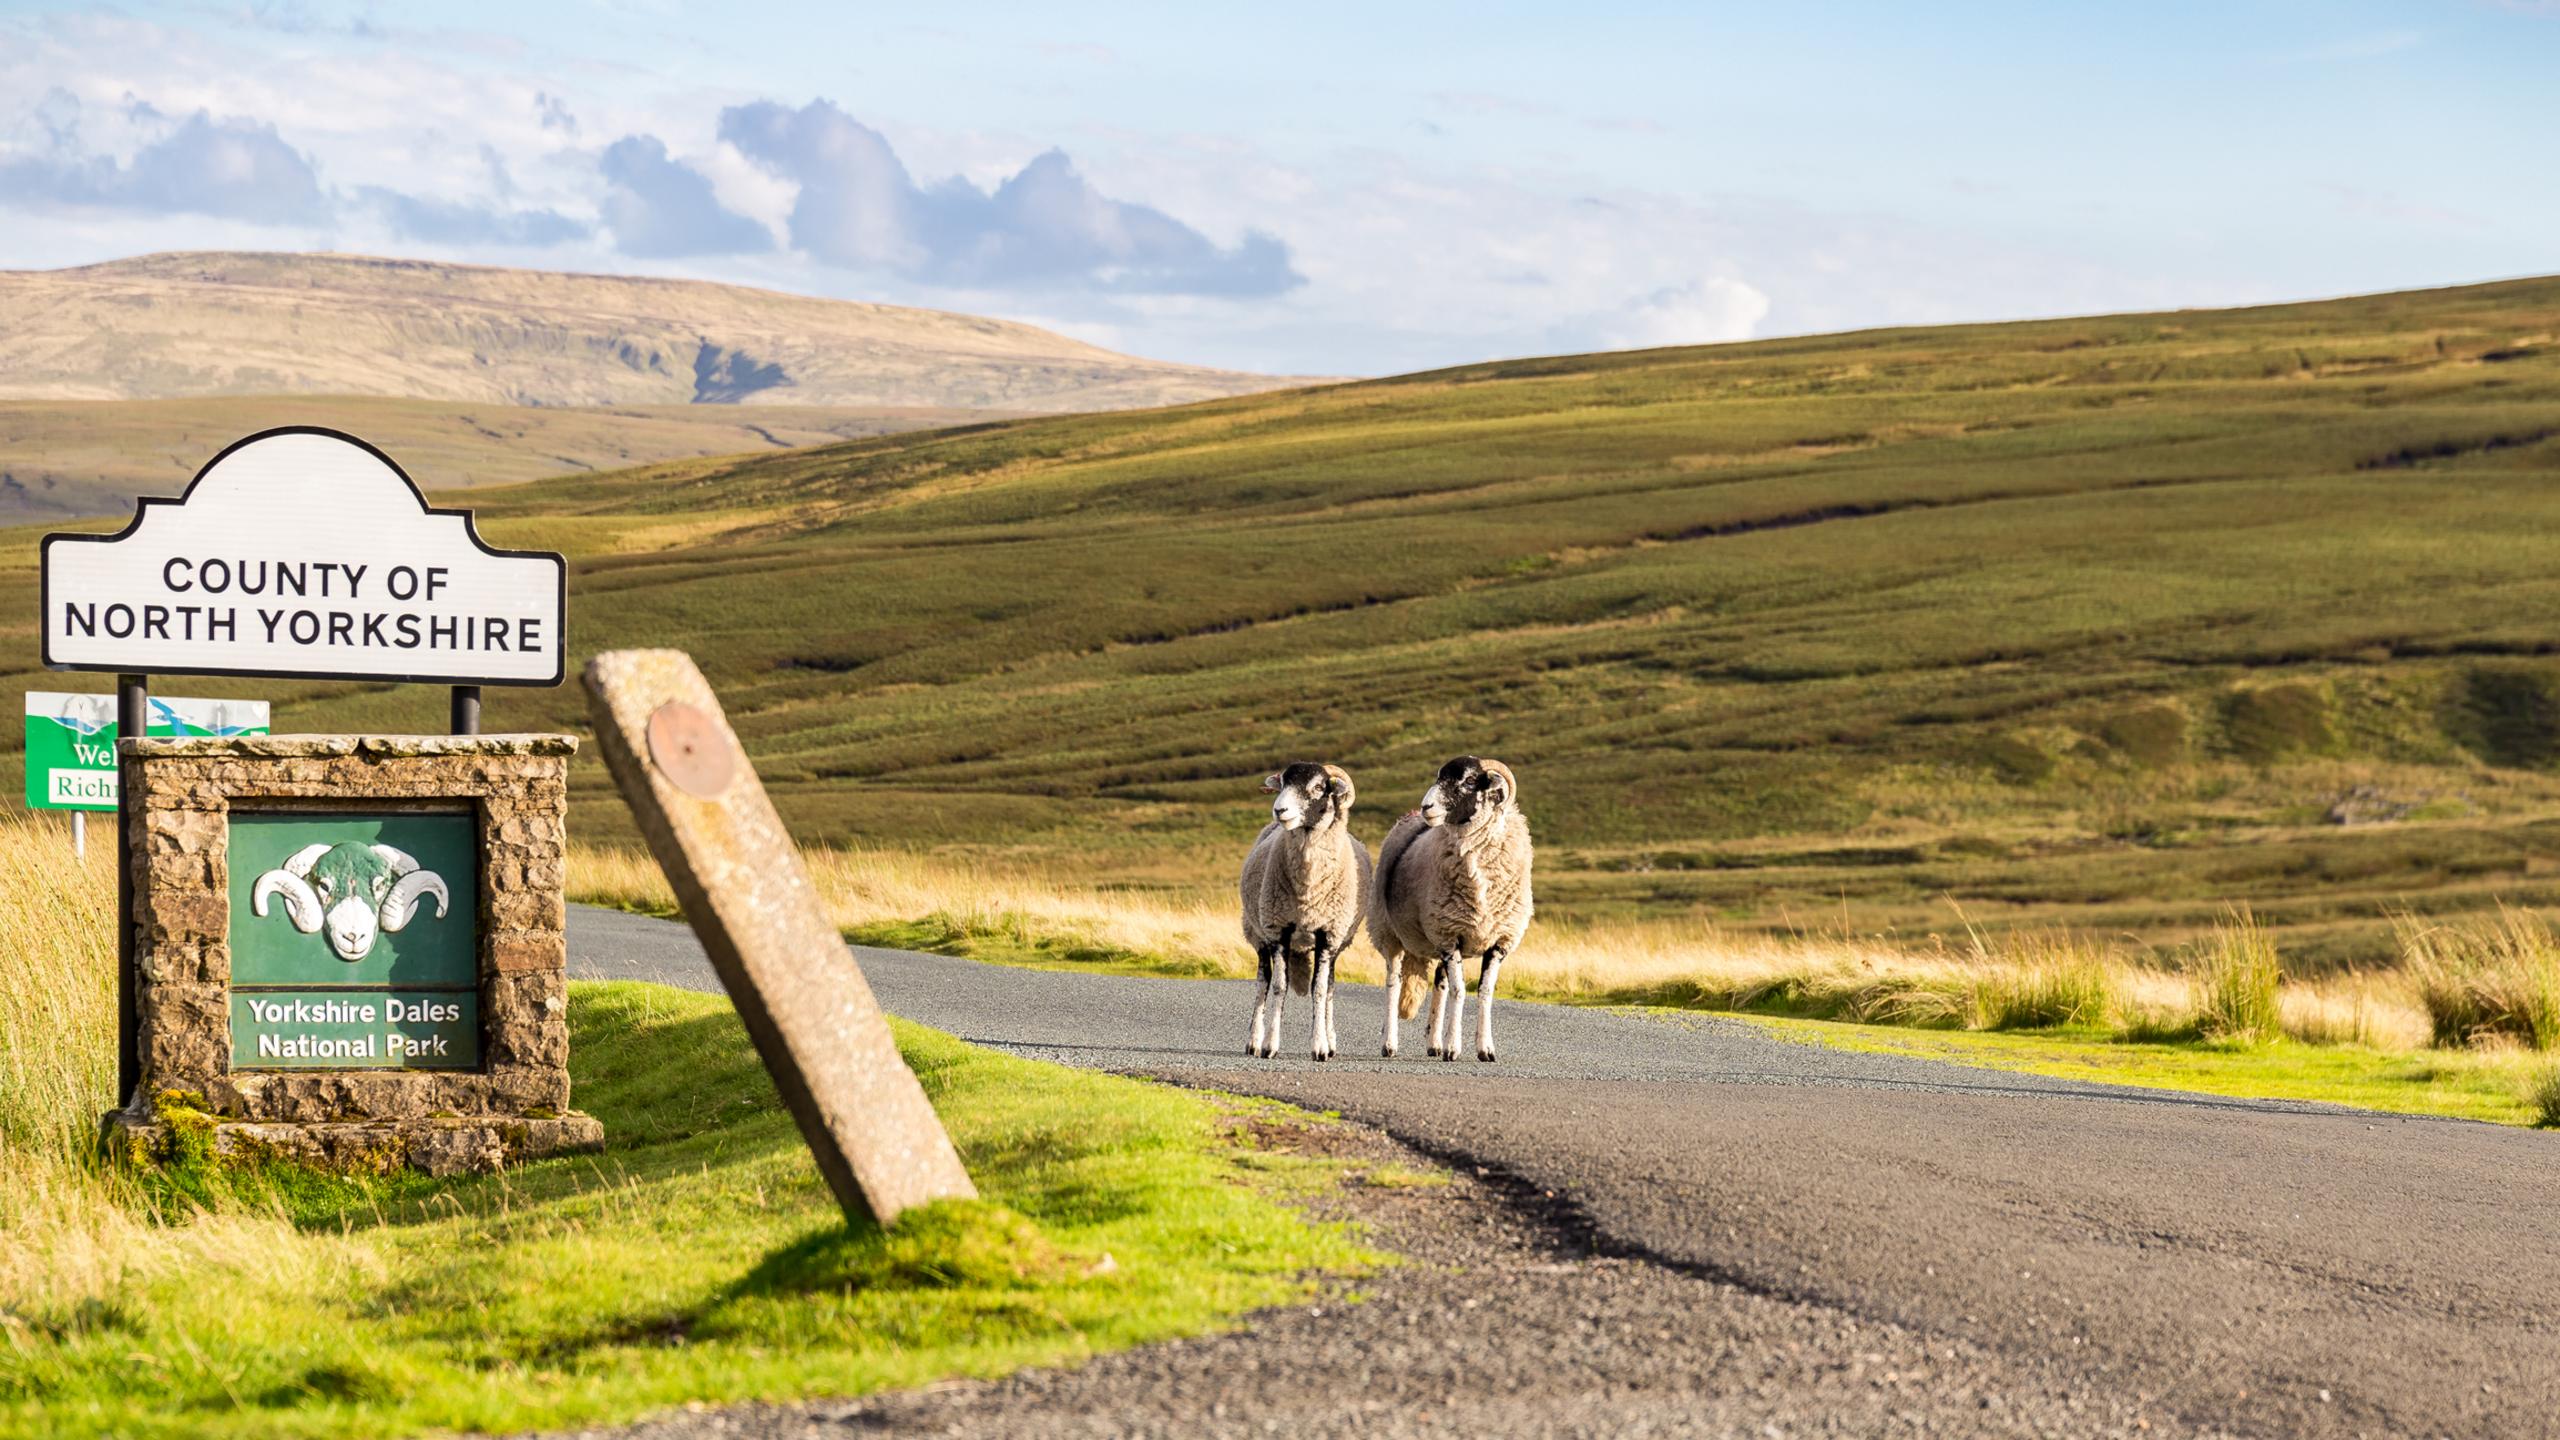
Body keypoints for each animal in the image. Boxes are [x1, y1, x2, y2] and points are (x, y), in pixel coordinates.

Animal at [1244, 763, 1382, 1055]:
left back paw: (1330, 1040)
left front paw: (1320, 1046)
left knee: (1329, 985)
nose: (1280, 810)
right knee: (1263, 981)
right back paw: (1253, 1040)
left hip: (1337, 943)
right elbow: (1279, 986)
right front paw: (1270, 1045)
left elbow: (1319, 989)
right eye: (1283, 783)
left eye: (1318, 787)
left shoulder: (1328, 934)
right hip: (1257, 932)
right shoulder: (1279, 930)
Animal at [1372, 758, 1525, 1060]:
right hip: (1389, 933)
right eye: (1439, 777)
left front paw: (1485, 1049)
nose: (1427, 807)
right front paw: (1454, 1047)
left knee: (1438, 985)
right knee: (1393, 983)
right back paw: (1389, 1043)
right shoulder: (1449, 935)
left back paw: (1434, 1043)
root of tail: (1407, 816)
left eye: (1469, 781)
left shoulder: (1497, 941)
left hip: (1435, 939)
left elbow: (1484, 992)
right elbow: (1460, 991)